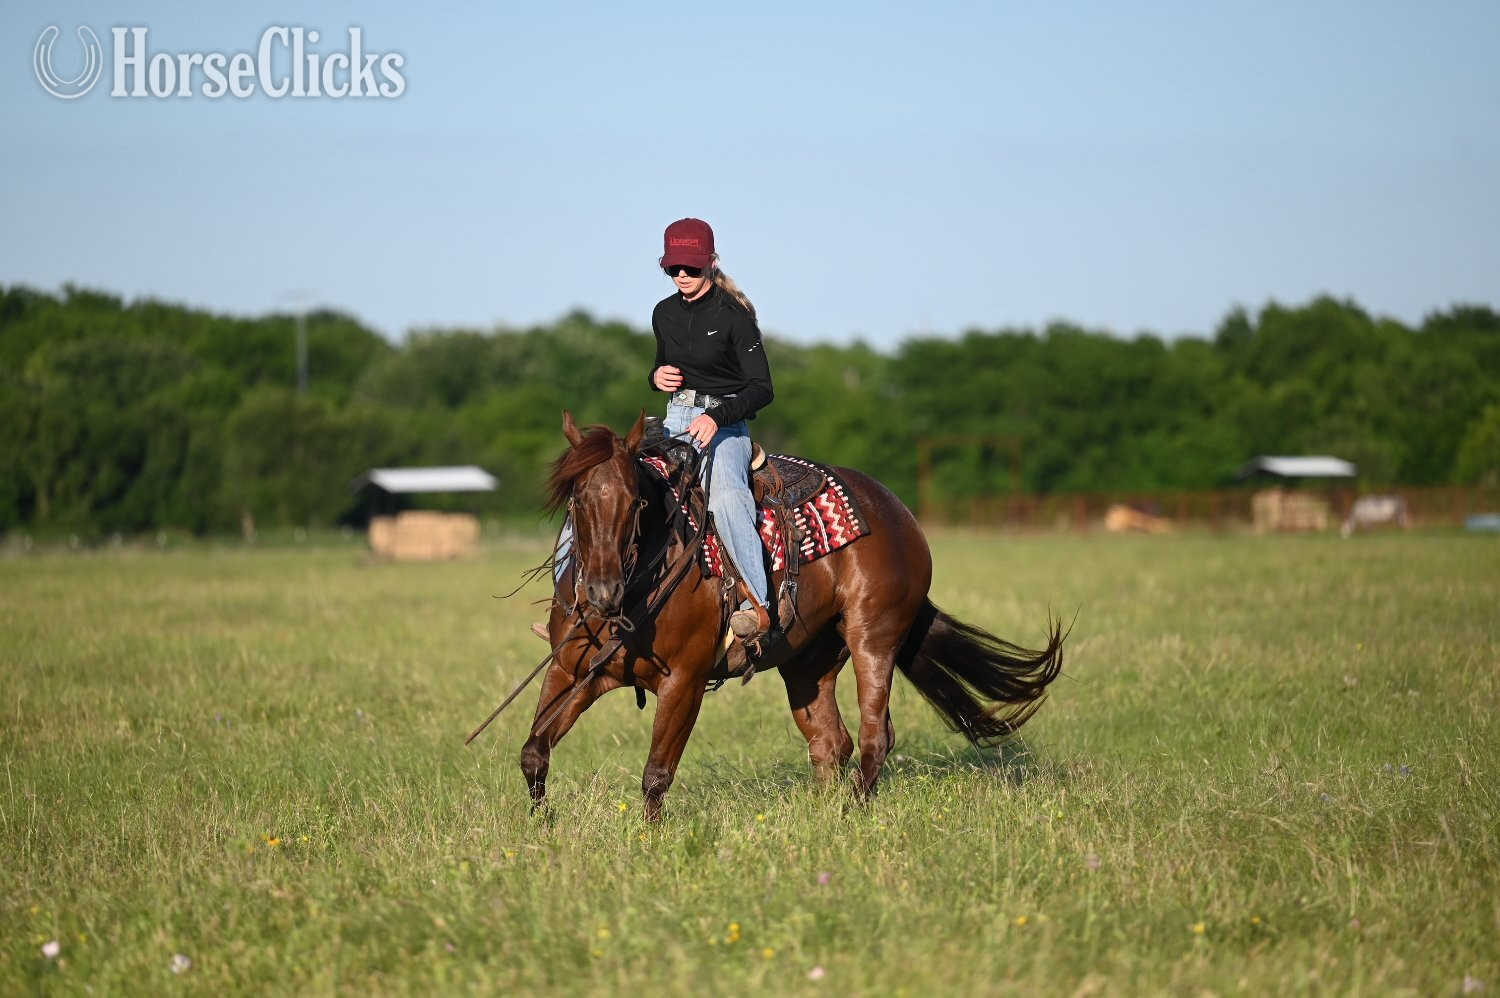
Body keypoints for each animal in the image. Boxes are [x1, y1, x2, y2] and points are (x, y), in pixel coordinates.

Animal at [517, 410, 1065, 820]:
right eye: (577, 498)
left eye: (636, 503)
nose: (601, 590)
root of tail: (899, 513)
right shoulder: (574, 672)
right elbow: (534, 753)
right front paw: (543, 827)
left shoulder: (684, 682)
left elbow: (657, 774)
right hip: (807, 661)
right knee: (830, 742)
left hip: (874, 638)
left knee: (874, 736)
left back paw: (851, 815)